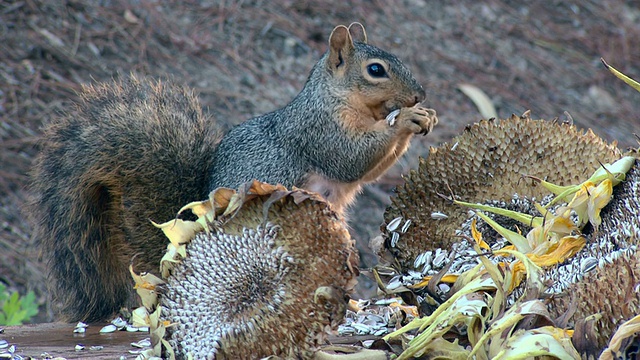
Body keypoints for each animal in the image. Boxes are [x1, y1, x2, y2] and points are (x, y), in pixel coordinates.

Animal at [32, 23, 438, 320]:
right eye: (376, 70)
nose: (419, 95)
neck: (340, 99)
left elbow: (367, 172)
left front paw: (424, 117)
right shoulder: (320, 131)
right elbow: (352, 159)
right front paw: (407, 119)